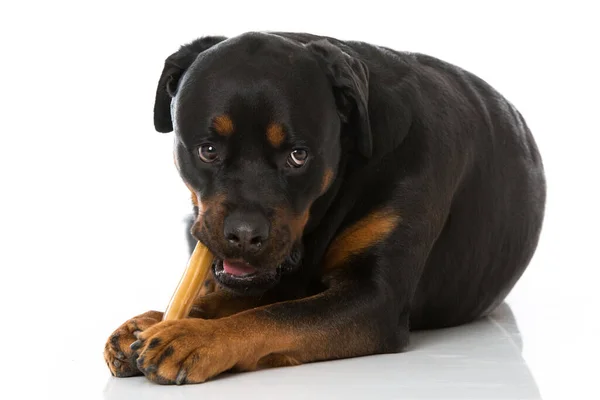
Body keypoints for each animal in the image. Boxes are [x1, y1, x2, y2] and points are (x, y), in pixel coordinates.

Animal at [103, 32, 544, 384]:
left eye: (298, 156)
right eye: (207, 150)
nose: (244, 234)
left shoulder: (375, 298)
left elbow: (276, 316)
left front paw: (192, 337)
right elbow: (235, 298)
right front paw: (151, 321)